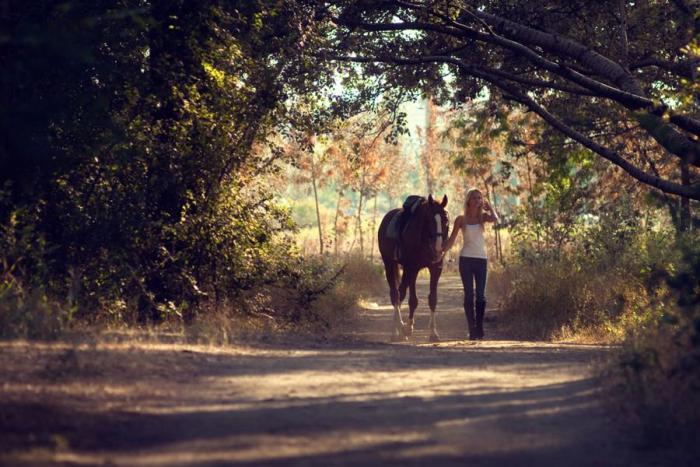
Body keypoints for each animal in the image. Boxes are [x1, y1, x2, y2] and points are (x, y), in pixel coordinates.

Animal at [378, 196, 448, 342]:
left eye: (445, 219)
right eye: (429, 219)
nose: (438, 247)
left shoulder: (436, 269)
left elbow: (432, 299)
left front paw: (433, 333)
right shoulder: (413, 268)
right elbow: (413, 300)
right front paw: (408, 328)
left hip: (404, 270)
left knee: (400, 293)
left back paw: (399, 329)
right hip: (389, 264)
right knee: (395, 295)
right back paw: (396, 331)